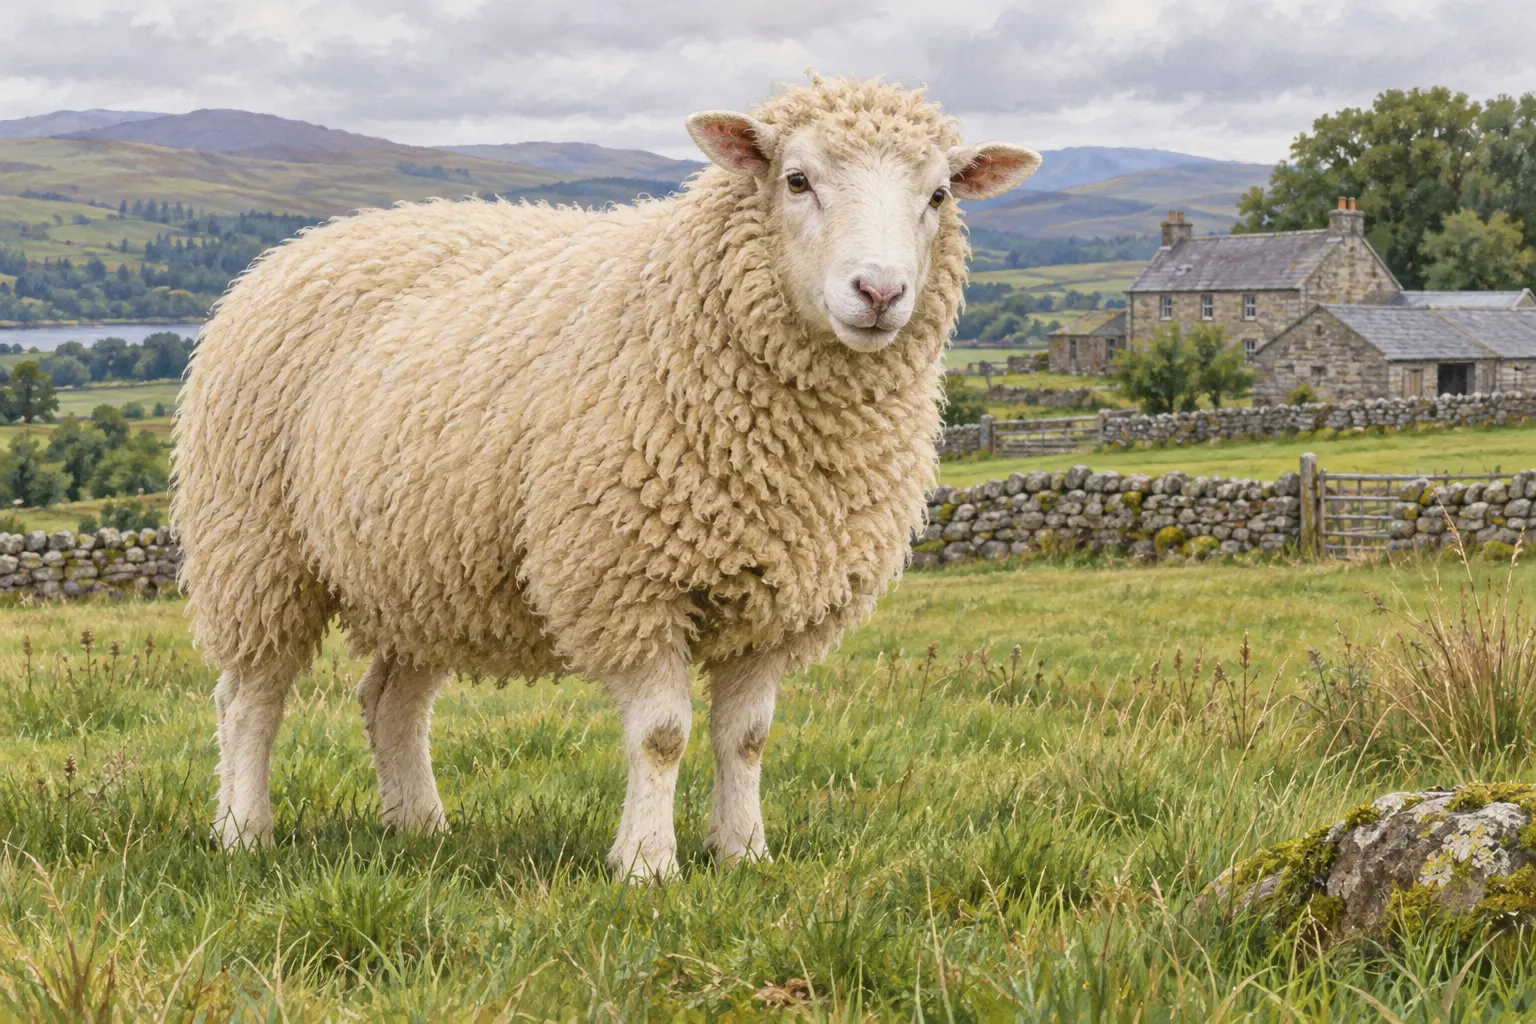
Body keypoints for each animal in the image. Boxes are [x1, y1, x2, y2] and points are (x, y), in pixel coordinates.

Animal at [171, 76, 1040, 879]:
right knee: (249, 697)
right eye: (797, 179)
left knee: (391, 702)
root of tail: (306, 241)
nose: (880, 292)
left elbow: (747, 739)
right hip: (254, 543)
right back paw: (244, 831)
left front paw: (742, 853)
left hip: (422, 567)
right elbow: (661, 736)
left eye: (938, 195)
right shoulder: (629, 577)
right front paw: (648, 864)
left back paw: (419, 826)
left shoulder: (779, 596)